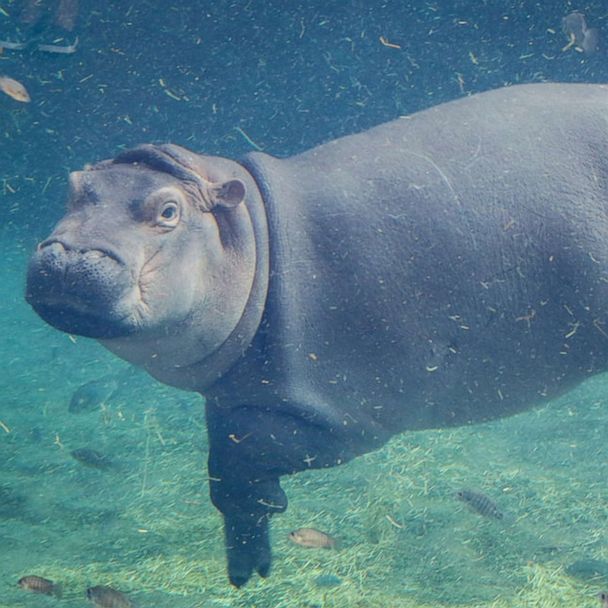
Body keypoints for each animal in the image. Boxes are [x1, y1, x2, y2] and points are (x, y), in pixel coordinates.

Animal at [26, 83, 608, 588]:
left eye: (168, 210)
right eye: (74, 187)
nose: (67, 256)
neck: (253, 234)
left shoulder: (342, 417)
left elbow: (238, 459)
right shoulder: (237, 396)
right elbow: (227, 469)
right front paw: (249, 563)